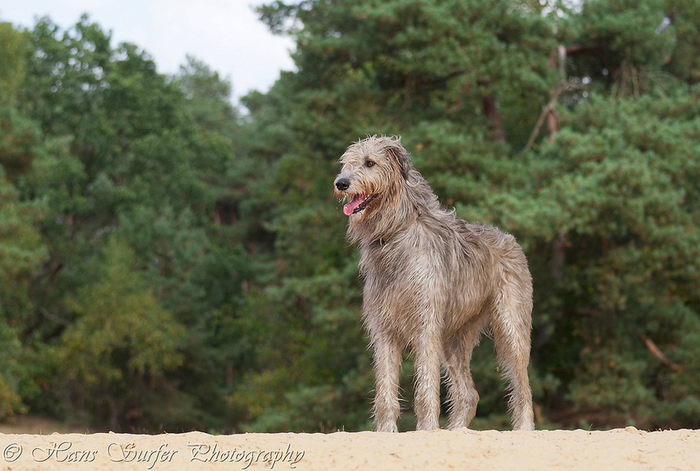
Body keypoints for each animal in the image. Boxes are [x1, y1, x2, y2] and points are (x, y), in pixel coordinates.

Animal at [334, 136, 536, 432]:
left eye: (370, 162)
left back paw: (523, 428)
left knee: (522, 382)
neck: (395, 233)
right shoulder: (383, 327)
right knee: (468, 393)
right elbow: (385, 387)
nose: (341, 182)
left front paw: (427, 428)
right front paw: (386, 430)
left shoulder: (426, 323)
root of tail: (511, 239)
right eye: (346, 163)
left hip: (511, 323)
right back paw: (457, 430)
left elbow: (425, 384)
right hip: (454, 338)